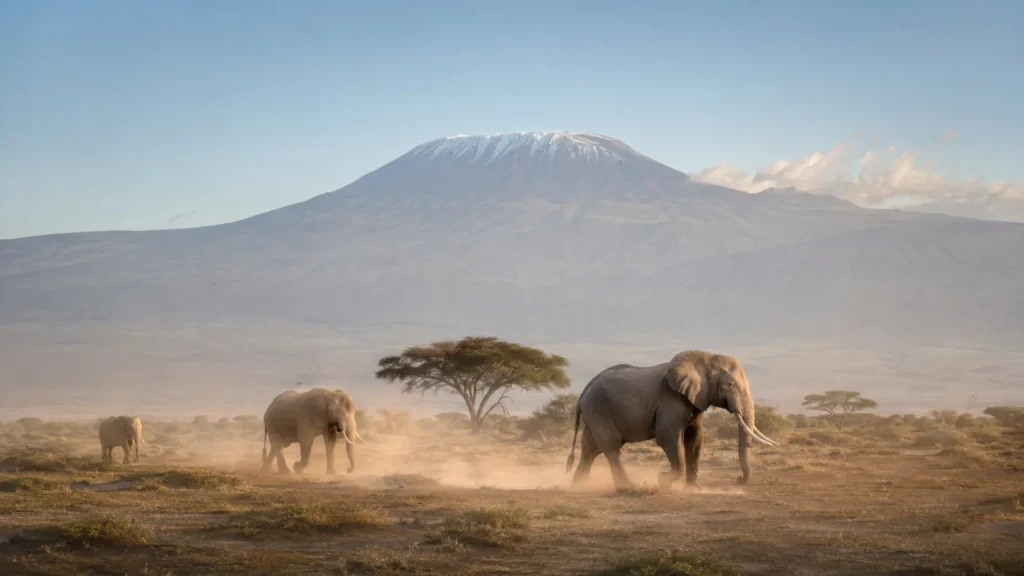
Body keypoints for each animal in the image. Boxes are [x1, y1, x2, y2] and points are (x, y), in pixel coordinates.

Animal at [565, 350, 779, 492]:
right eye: (730, 385)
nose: (737, 479)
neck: (706, 358)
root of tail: (582, 394)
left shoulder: (696, 398)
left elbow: (695, 438)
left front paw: (694, 489)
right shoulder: (670, 399)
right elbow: (668, 437)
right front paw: (662, 481)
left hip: (595, 413)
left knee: (590, 448)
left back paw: (578, 486)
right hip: (599, 409)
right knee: (610, 447)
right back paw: (628, 487)